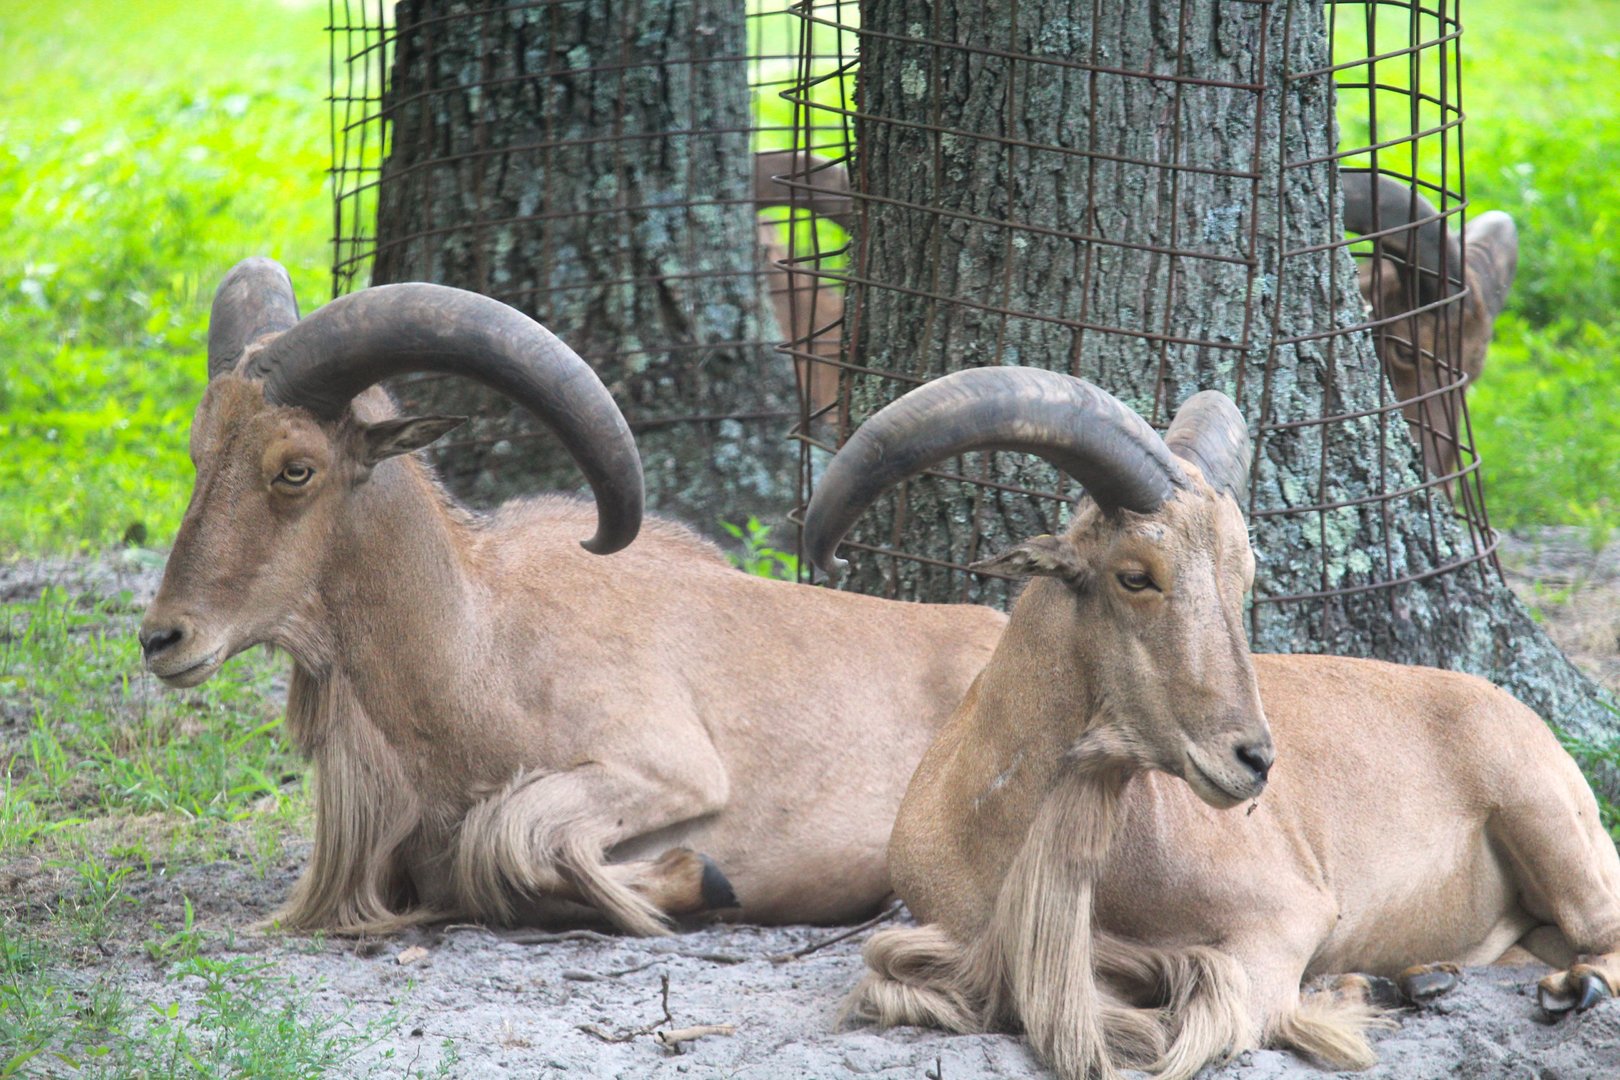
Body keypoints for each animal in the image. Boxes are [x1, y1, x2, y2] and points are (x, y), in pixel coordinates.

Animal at [139, 256, 1007, 936]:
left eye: (296, 468)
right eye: (198, 453)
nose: (162, 639)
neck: (471, 654)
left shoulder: (665, 767)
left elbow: (507, 838)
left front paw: (705, 879)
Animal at [802, 366, 1620, 1079]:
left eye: (1242, 576)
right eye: (1135, 575)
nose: (1254, 760)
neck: (996, 824)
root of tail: (1511, 709)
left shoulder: (1284, 915)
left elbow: (1215, 1016)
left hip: (1543, 814)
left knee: (1598, 926)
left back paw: (1569, 989)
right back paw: (1425, 977)